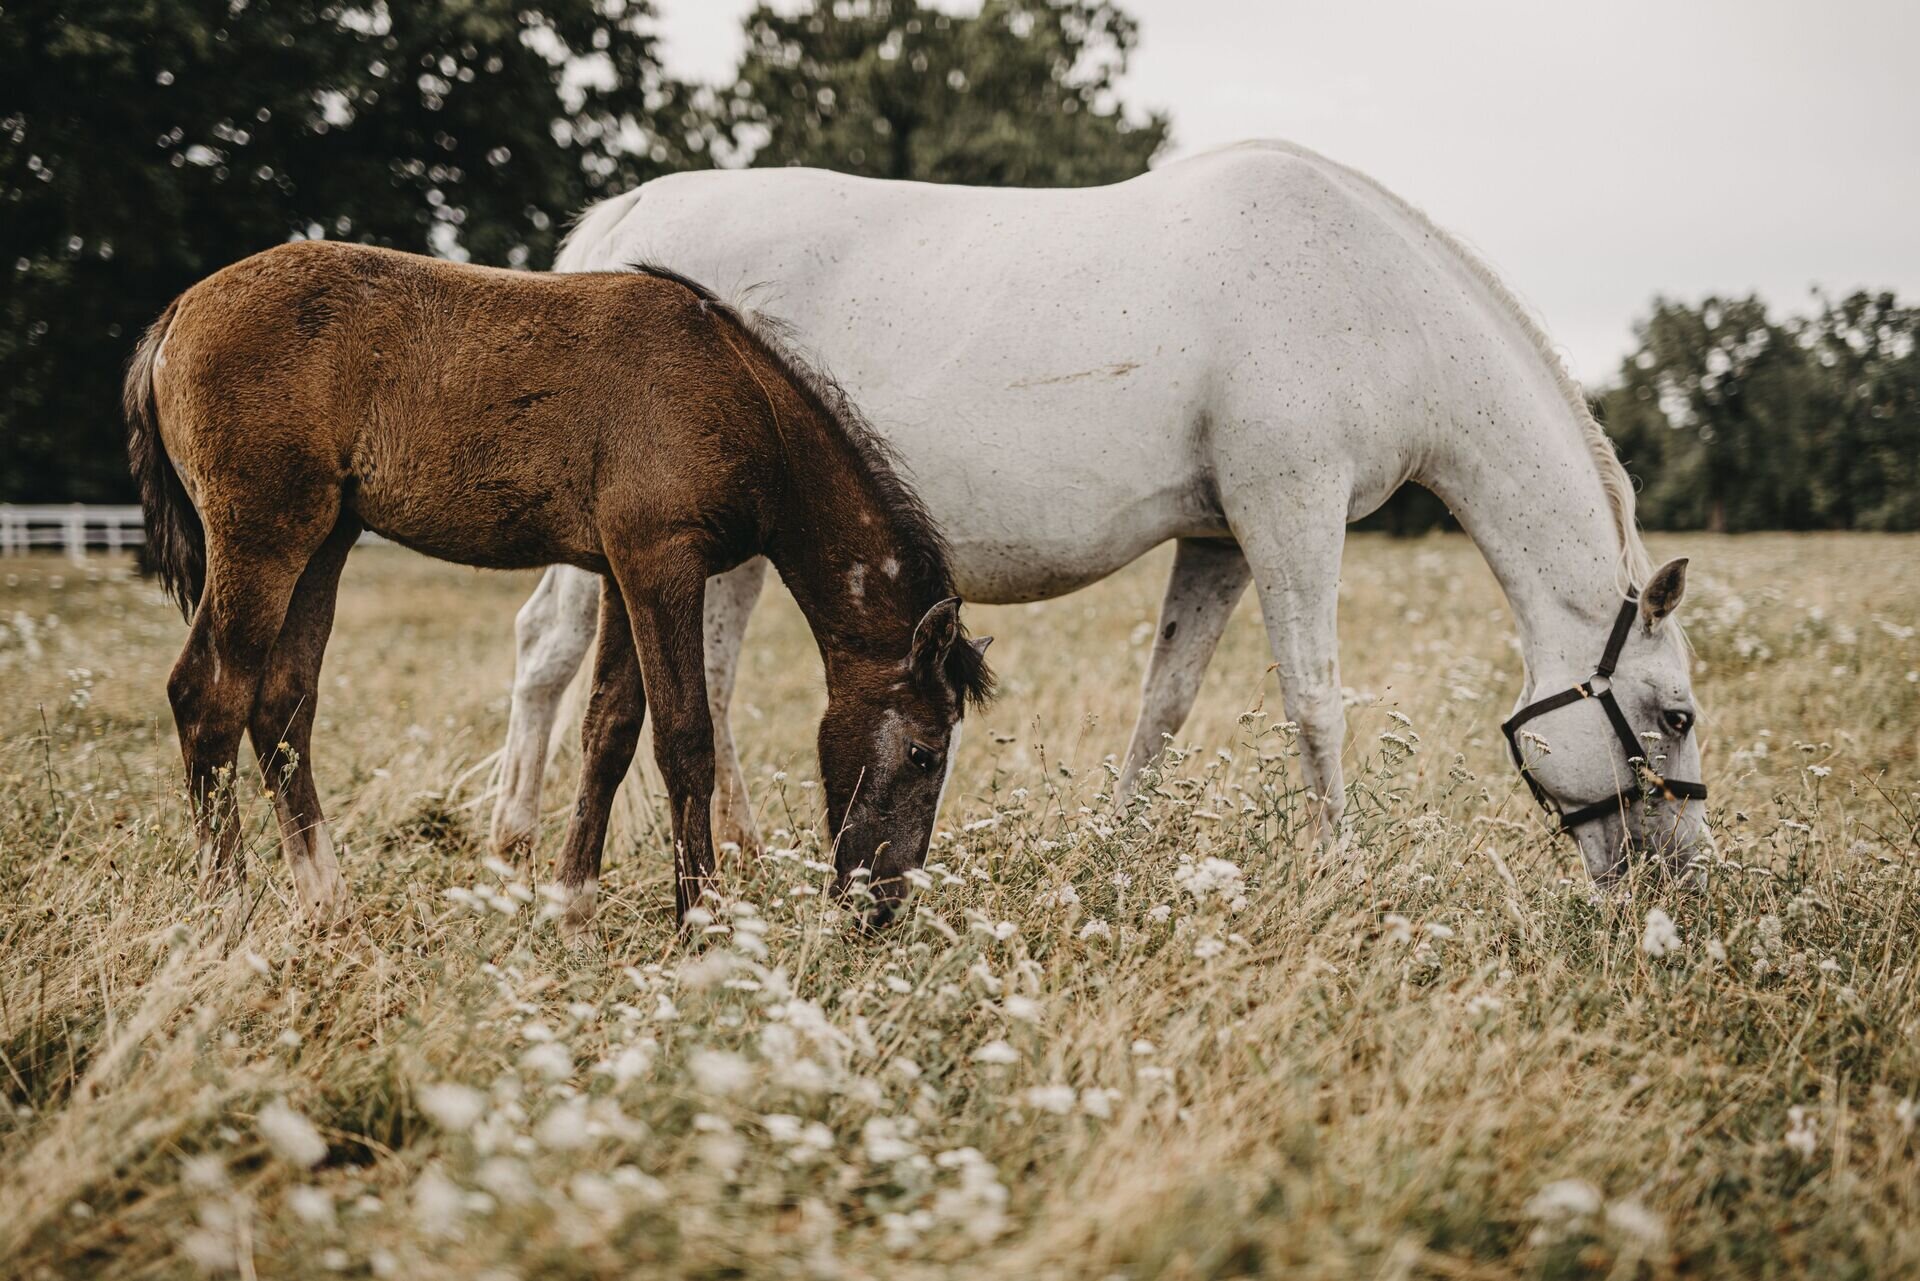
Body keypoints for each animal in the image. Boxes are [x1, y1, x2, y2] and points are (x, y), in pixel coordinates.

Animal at [123, 242, 990, 933]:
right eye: (924, 752)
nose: (880, 906)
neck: (739, 393)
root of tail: (175, 316)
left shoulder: (623, 570)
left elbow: (609, 730)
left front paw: (572, 905)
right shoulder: (661, 563)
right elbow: (685, 738)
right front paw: (701, 920)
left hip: (324, 543)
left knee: (282, 708)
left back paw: (328, 902)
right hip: (262, 539)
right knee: (207, 697)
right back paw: (228, 910)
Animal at [495, 138, 1712, 883]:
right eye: (1675, 714)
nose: (1686, 878)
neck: (1369, 295)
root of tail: (632, 213)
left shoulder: (1219, 540)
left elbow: (1162, 707)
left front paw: (1114, 854)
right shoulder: (1291, 513)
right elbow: (1316, 703)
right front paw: (1344, 872)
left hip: (735, 547)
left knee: (701, 677)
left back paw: (742, 857)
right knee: (552, 654)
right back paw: (516, 846)